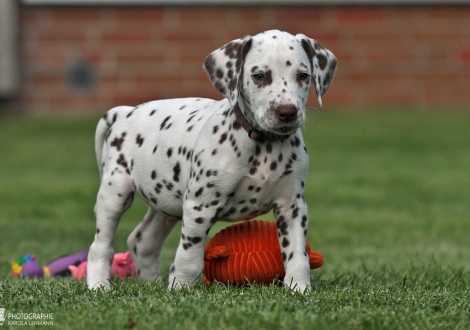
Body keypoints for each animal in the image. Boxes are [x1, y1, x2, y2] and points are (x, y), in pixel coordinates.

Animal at [87, 29, 338, 292]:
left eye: (303, 75)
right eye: (259, 76)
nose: (287, 112)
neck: (262, 145)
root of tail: (124, 111)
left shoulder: (292, 206)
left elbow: (297, 253)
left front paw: (299, 287)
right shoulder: (200, 205)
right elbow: (189, 257)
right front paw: (179, 289)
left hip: (167, 204)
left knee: (143, 240)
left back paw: (152, 283)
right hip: (115, 195)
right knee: (100, 246)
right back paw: (99, 285)